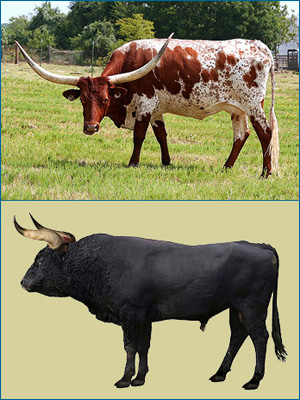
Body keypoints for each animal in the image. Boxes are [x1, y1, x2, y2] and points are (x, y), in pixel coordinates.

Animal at [15, 35, 278, 177]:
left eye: (105, 100)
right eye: (82, 100)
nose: (90, 128)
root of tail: (261, 46)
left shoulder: (145, 105)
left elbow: (139, 136)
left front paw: (133, 163)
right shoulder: (156, 111)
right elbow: (161, 135)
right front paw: (166, 162)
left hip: (253, 103)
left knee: (265, 132)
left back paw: (265, 173)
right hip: (237, 109)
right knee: (241, 136)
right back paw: (227, 167)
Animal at [15, 214, 288, 390]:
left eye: (41, 260)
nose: (23, 282)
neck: (98, 263)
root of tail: (259, 245)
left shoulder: (131, 314)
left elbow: (130, 346)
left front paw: (125, 379)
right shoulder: (145, 318)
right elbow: (144, 347)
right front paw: (140, 378)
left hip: (252, 307)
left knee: (260, 337)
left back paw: (254, 380)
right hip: (236, 309)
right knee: (238, 336)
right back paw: (220, 374)